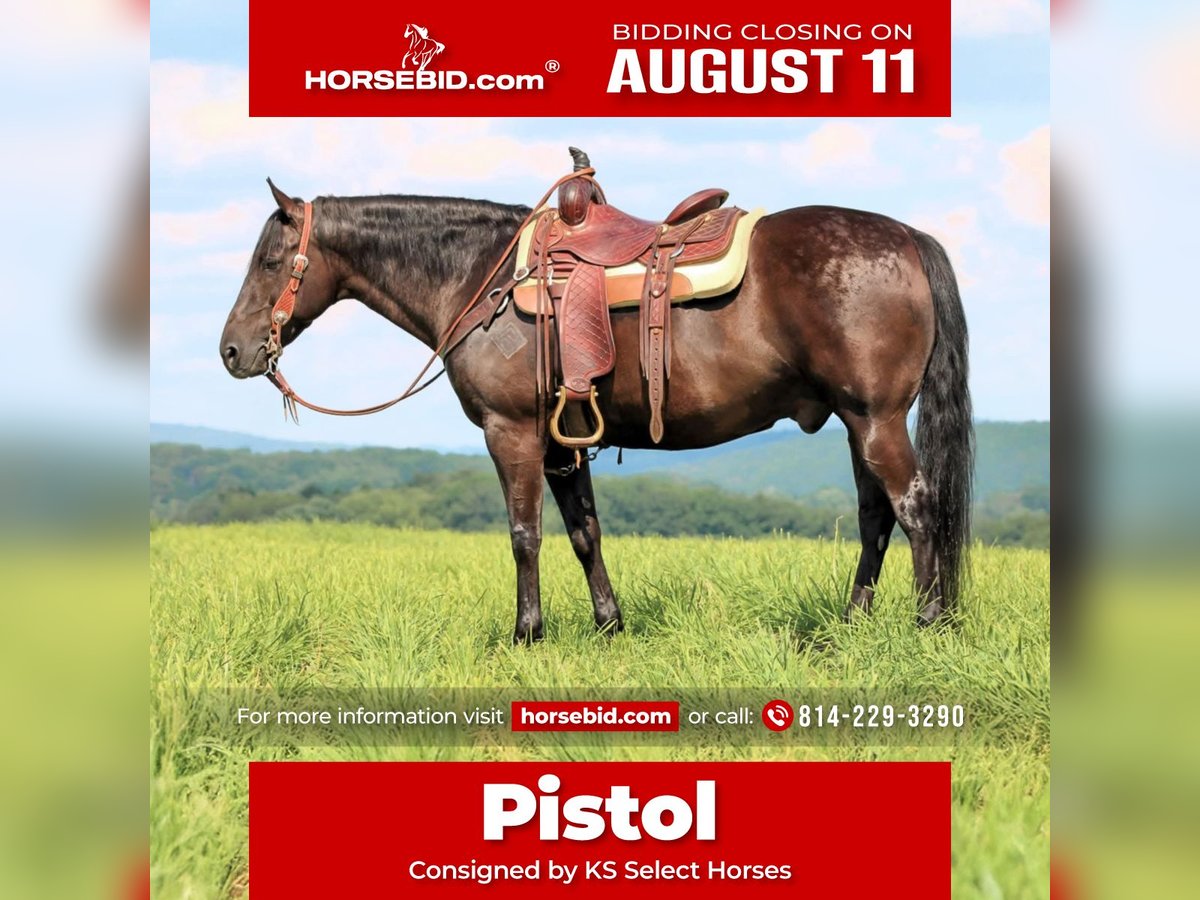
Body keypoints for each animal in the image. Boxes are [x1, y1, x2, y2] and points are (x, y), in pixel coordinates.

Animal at [219, 177, 973, 644]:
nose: (232, 351)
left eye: (270, 260)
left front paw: (526, 634)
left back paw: (929, 623)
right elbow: (585, 532)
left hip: (875, 419)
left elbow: (524, 534)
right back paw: (853, 623)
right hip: (856, 422)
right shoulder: (563, 442)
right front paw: (610, 625)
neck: (481, 276)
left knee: (915, 509)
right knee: (877, 517)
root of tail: (908, 238)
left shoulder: (513, 434)